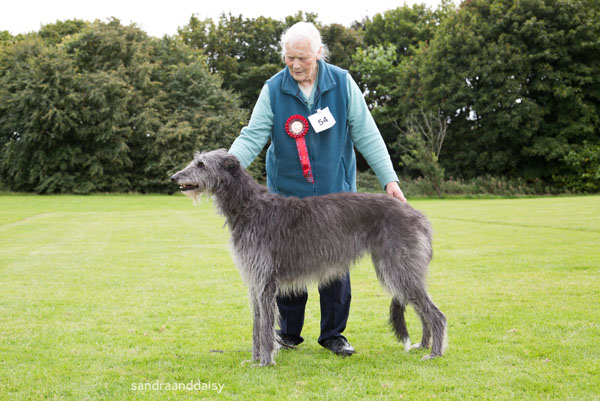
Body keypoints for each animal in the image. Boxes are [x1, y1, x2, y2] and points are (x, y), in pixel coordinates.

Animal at [169, 148, 446, 364]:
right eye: (195, 161)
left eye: (201, 164)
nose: (173, 177)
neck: (248, 206)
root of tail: (418, 216)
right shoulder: (255, 281)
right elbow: (257, 325)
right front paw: (255, 359)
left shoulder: (265, 281)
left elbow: (265, 326)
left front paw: (265, 361)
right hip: (396, 269)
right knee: (423, 310)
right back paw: (423, 345)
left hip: (398, 267)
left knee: (436, 314)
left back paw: (434, 353)